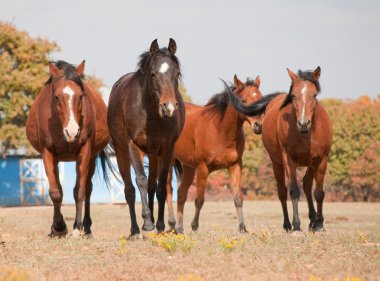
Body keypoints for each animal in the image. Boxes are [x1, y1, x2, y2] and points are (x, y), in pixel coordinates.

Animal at [25, 60, 109, 235]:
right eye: (56, 97)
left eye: (81, 96)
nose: (72, 132)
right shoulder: (48, 154)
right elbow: (55, 192)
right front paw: (58, 227)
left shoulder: (84, 152)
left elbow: (80, 191)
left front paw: (77, 228)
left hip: (91, 158)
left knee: (87, 188)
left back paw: (87, 227)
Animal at [107, 38, 185, 237]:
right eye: (153, 74)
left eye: (177, 73)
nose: (169, 107)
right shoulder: (133, 146)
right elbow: (140, 180)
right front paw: (148, 223)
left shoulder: (166, 149)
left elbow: (161, 187)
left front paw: (160, 225)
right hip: (122, 151)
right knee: (129, 189)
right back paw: (136, 230)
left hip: (154, 155)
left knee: (153, 186)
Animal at [166, 74, 264, 232]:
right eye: (243, 100)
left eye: (260, 98)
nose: (258, 125)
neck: (221, 130)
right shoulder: (203, 168)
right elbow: (199, 200)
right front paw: (194, 226)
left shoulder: (235, 166)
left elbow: (238, 199)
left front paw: (242, 227)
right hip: (169, 162)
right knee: (168, 190)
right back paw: (172, 224)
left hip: (188, 167)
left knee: (181, 193)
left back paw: (180, 228)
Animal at [227, 66, 332, 231]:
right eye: (293, 96)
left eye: (314, 95)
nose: (303, 123)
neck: (307, 134)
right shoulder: (289, 160)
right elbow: (294, 191)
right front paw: (297, 225)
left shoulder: (322, 160)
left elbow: (319, 193)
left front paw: (319, 224)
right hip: (277, 163)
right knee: (282, 191)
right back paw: (288, 224)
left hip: (311, 164)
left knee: (307, 185)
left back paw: (312, 220)